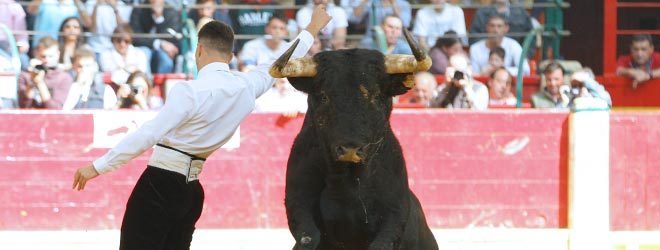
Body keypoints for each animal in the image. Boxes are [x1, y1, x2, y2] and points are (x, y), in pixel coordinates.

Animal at [278, 48, 438, 250]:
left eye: (376, 97)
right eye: (324, 96)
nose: (350, 149)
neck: (347, 183)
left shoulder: (395, 212)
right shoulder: (297, 202)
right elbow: (309, 237)